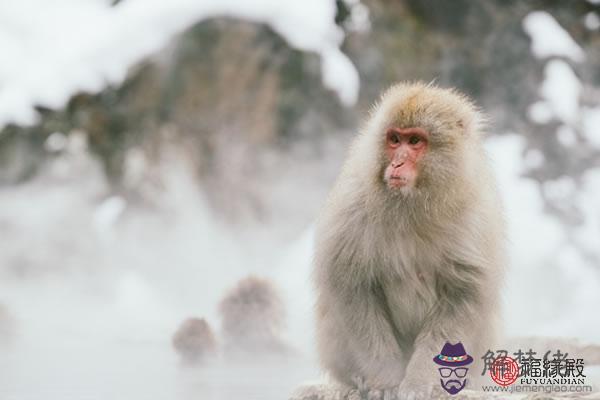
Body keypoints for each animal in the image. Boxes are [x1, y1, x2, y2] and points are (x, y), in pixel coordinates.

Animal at [314, 83, 506, 398]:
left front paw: (420, 380)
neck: (412, 205)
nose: (397, 162)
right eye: (394, 139)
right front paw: (386, 380)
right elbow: (353, 287)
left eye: (415, 141)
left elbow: (463, 294)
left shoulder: (474, 219)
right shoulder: (353, 208)